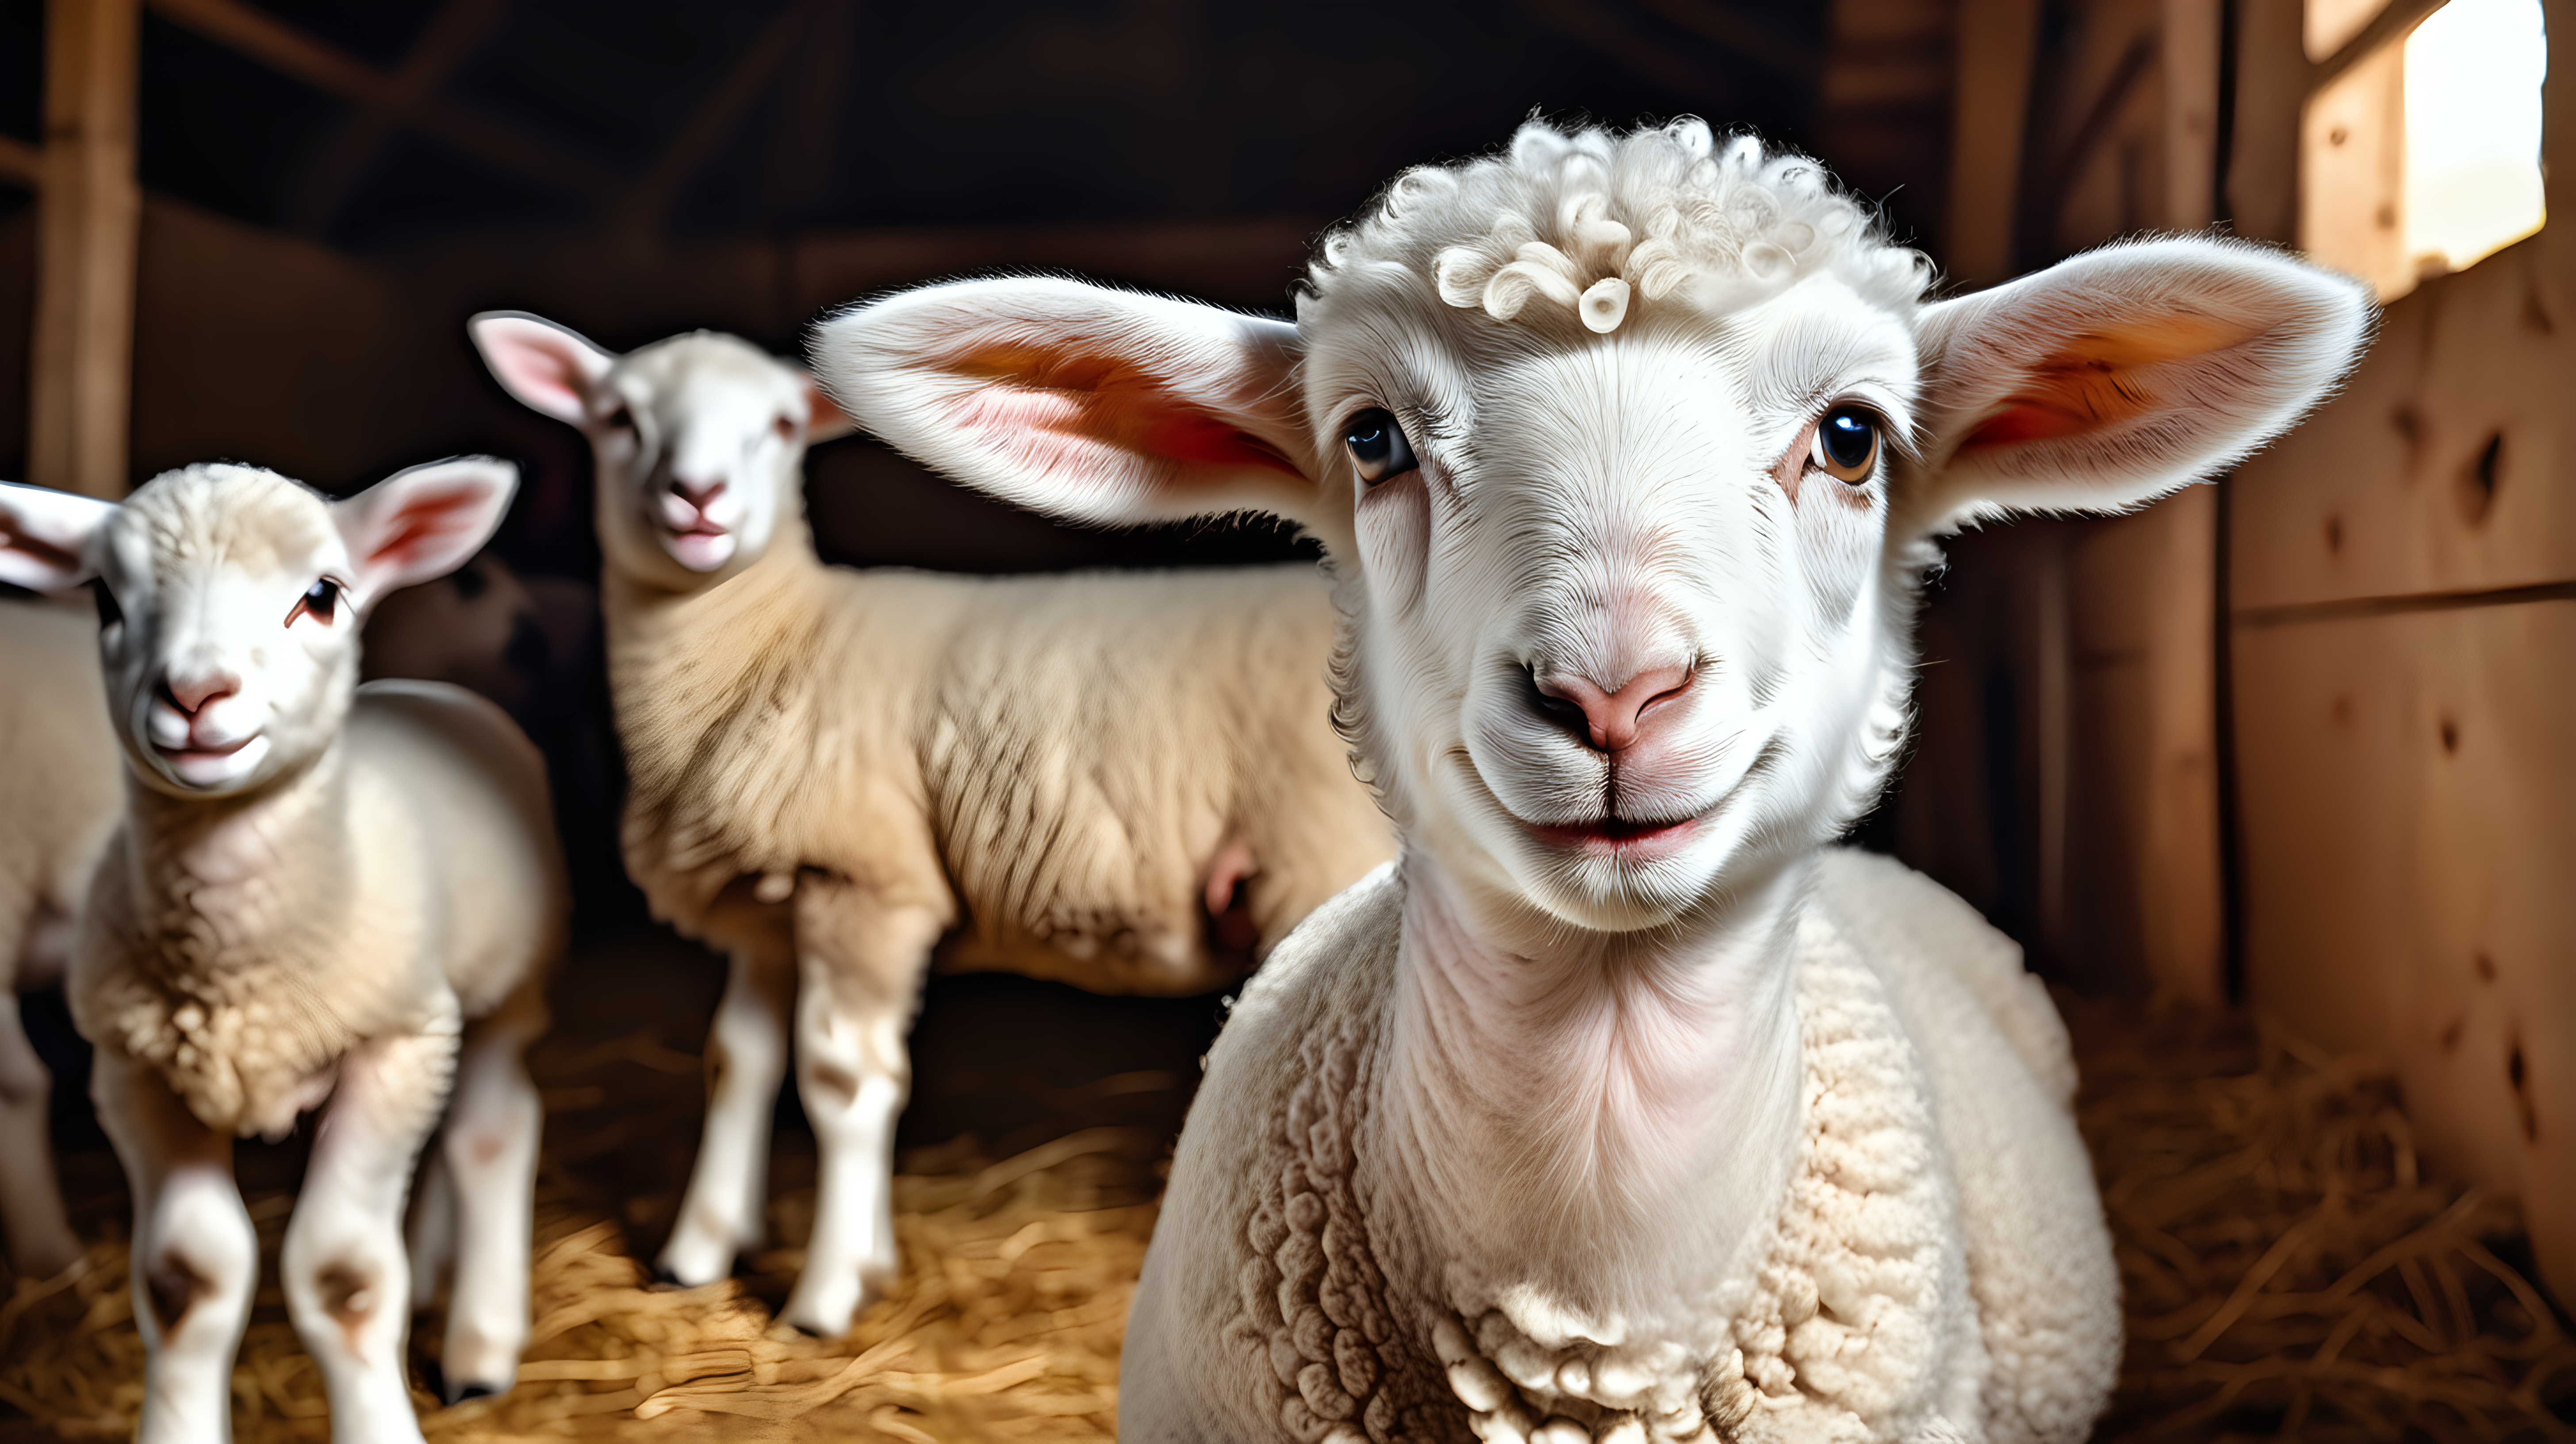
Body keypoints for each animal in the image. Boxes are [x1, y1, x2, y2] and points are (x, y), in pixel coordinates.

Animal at [0, 461, 569, 1444]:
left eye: (322, 595)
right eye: (105, 597)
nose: (195, 695)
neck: (234, 971)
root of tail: (436, 692)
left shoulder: (391, 1042)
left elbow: (346, 1276)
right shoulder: (136, 1066)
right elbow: (186, 1277)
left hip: (502, 989)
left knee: (493, 1131)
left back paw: (480, 1342)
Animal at [464, 311, 1391, 1340]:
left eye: (782, 425)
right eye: (618, 418)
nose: (697, 501)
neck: (764, 642)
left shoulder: (862, 879)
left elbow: (843, 1086)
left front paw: (824, 1298)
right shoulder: (770, 905)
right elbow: (739, 1062)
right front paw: (704, 1255)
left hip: (1319, 855)